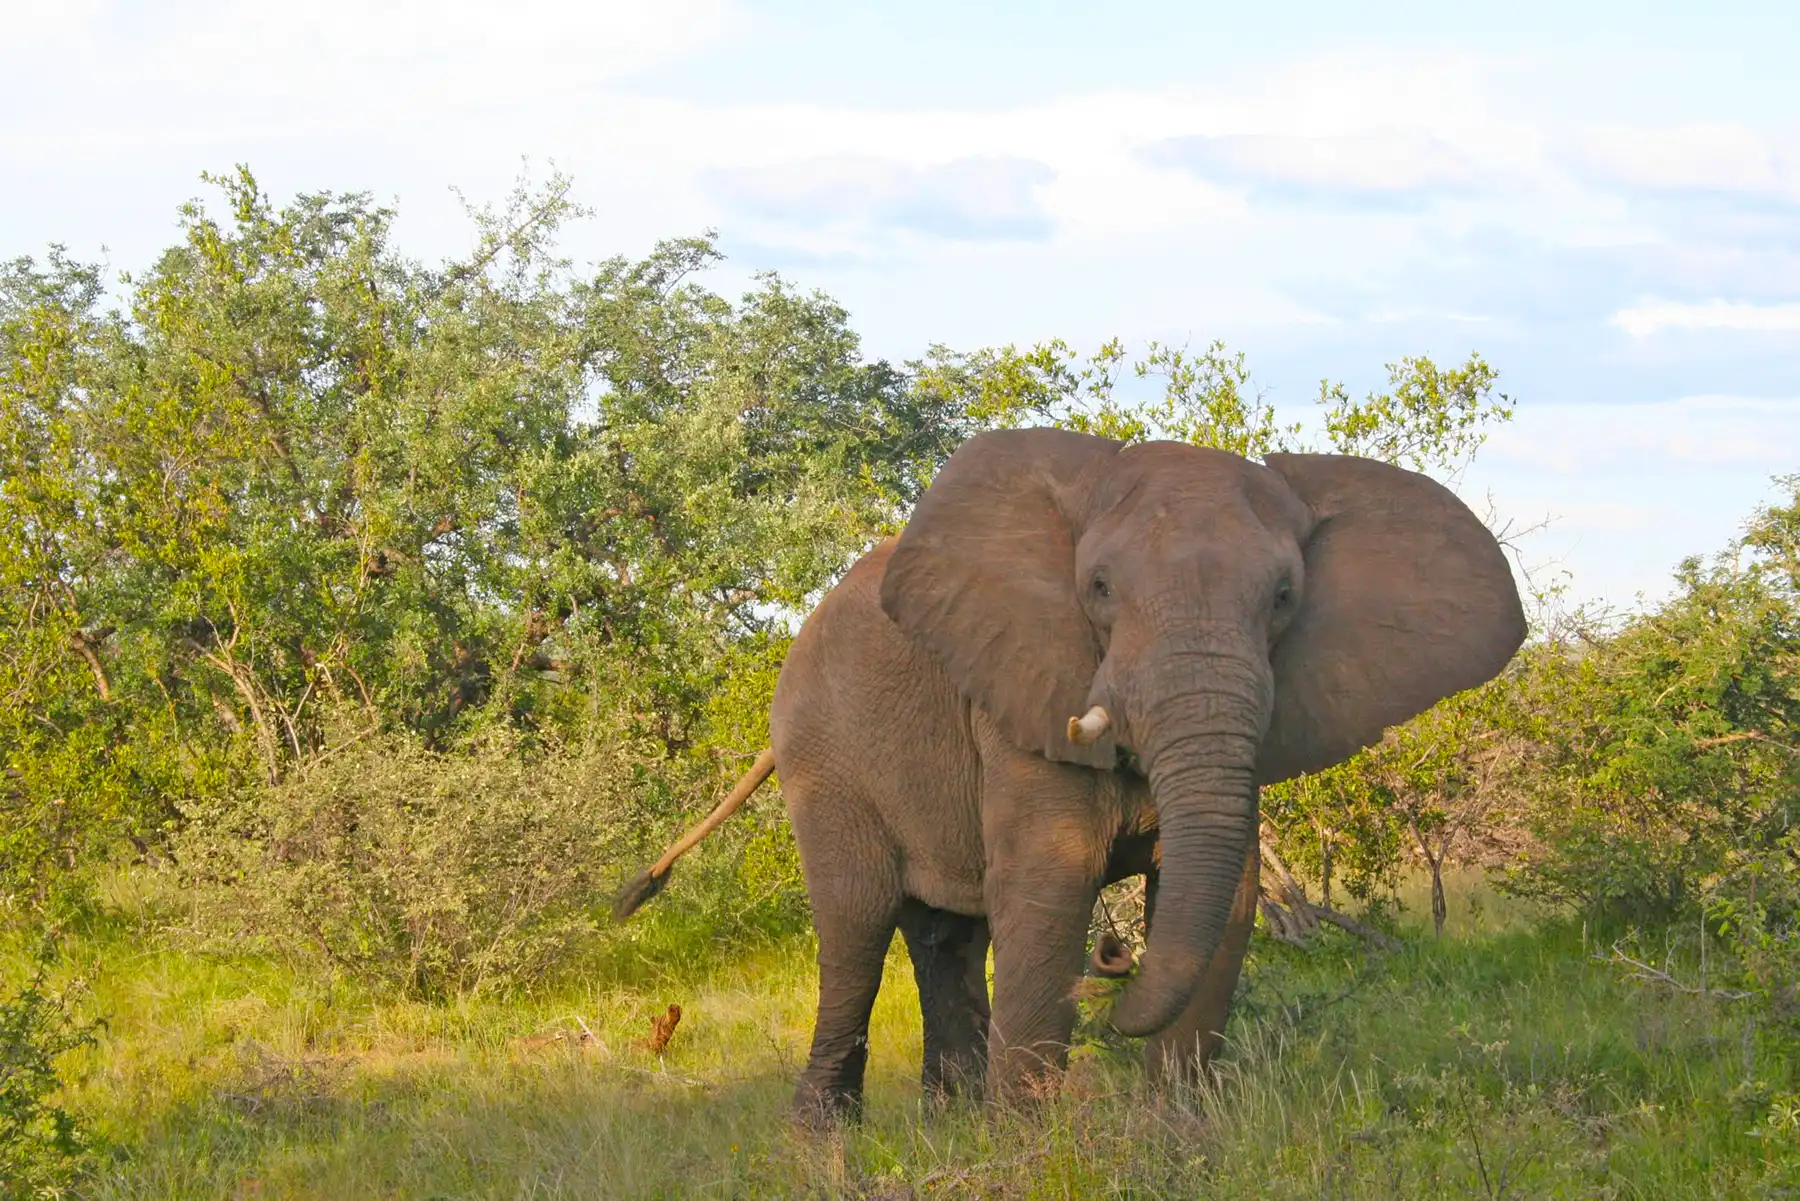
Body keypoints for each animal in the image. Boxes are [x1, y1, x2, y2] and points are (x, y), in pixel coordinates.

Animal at [615, 427, 1525, 1123]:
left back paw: (951, 1123)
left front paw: (1178, 1135)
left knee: (945, 933)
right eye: (1099, 587)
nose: (1116, 961)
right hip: (826, 750)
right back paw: (825, 1142)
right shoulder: (1021, 687)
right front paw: (1031, 1149)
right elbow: (1049, 891)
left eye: (1282, 596)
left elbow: (1225, 905)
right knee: (857, 927)